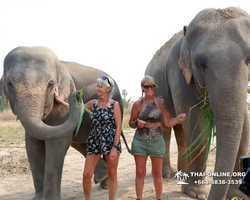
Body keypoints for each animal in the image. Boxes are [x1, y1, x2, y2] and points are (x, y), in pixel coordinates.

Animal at [0, 46, 129, 199]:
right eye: (9, 84)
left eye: (50, 84)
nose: (77, 93)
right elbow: (32, 146)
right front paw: (38, 198)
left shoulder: (63, 105)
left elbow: (56, 145)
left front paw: (50, 199)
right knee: (80, 144)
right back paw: (101, 178)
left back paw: (106, 184)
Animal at [145, 6, 250, 200]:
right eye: (201, 64)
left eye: (249, 59)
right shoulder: (179, 73)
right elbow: (196, 122)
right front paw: (197, 193)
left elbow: (244, 125)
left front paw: (237, 195)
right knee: (165, 129)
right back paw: (169, 175)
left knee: (180, 130)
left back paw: (182, 175)